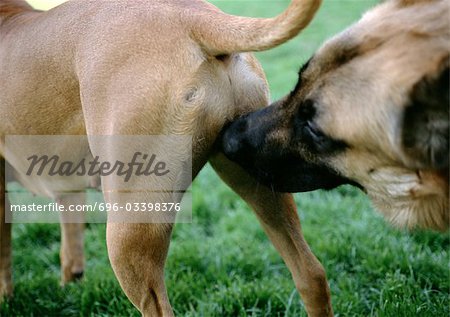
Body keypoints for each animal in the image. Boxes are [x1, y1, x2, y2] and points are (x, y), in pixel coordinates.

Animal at [0, 0, 338, 316]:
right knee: (311, 273)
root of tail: (191, 15)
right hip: (258, 180)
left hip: (129, 227)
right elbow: (70, 246)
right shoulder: (67, 192)